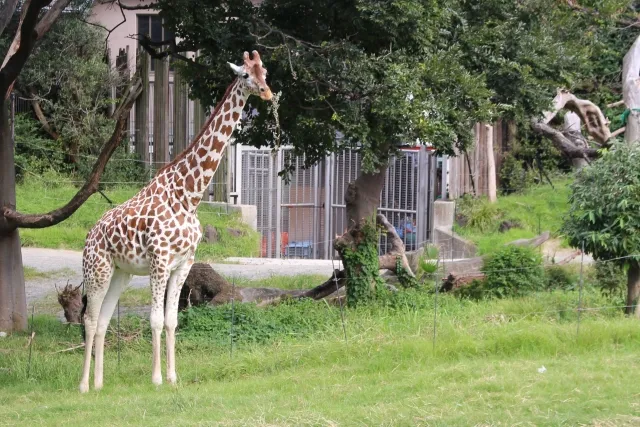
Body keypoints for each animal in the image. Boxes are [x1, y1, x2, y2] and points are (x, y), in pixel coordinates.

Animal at [78, 51, 272, 394]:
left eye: (265, 72)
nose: (267, 93)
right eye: (245, 75)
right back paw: (84, 386)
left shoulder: (183, 263)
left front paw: (172, 377)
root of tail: (89, 237)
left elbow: (172, 320)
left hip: (120, 274)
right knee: (89, 318)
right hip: (97, 270)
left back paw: (100, 384)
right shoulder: (160, 261)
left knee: (102, 320)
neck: (188, 195)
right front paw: (156, 378)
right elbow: (155, 319)